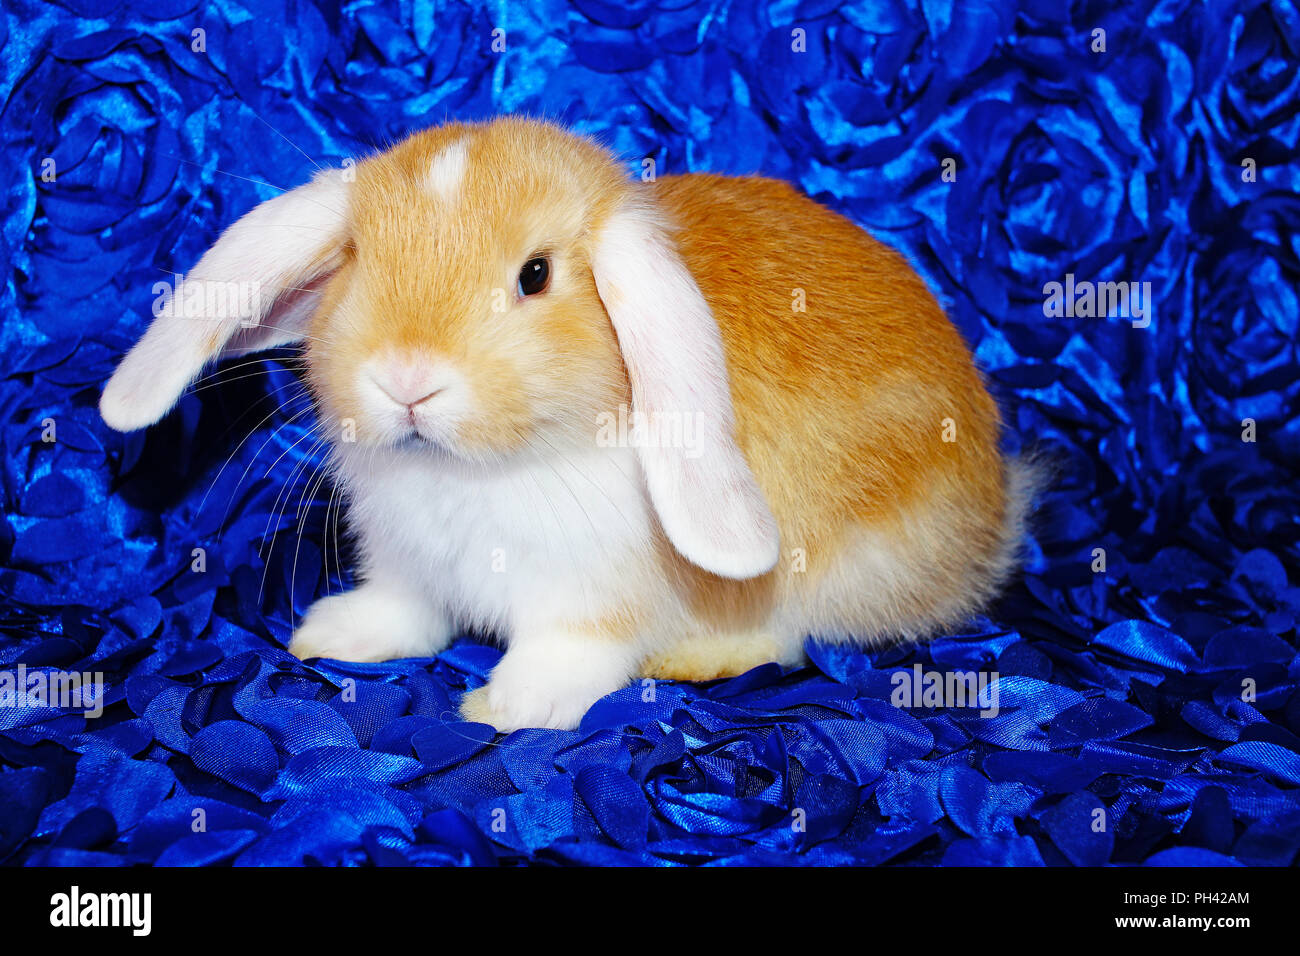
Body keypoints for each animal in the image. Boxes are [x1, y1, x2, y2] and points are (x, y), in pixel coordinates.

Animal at [100, 117, 1035, 732]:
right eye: (358, 261)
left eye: (536, 275)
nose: (407, 379)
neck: (478, 469)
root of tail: (996, 511)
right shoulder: (409, 568)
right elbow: (410, 614)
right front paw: (334, 634)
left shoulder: (589, 601)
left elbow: (565, 654)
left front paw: (504, 706)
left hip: (844, 564)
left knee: (797, 634)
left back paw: (700, 658)